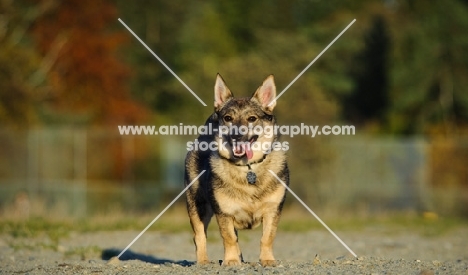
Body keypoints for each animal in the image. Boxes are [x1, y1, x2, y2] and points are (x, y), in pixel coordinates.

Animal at [184, 74, 288, 268]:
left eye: (252, 118)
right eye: (228, 118)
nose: (237, 134)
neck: (248, 168)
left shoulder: (273, 210)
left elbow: (267, 237)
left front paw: (267, 260)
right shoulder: (224, 212)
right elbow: (229, 237)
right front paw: (231, 261)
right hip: (197, 206)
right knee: (199, 236)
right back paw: (203, 261)